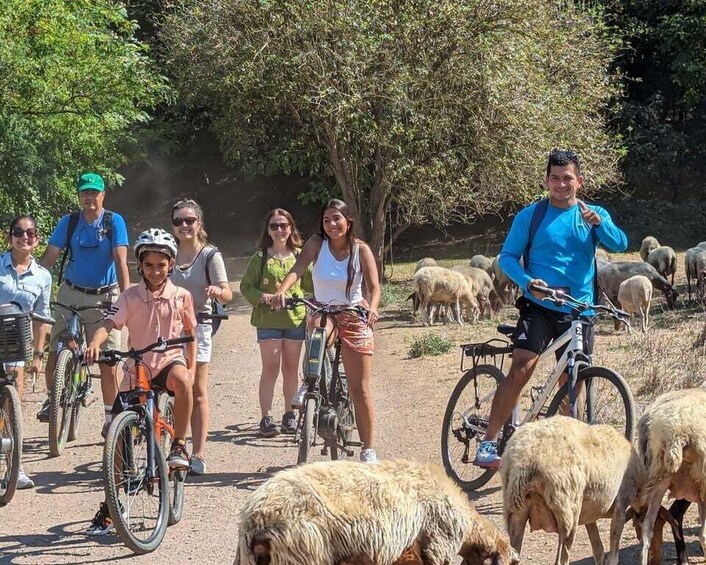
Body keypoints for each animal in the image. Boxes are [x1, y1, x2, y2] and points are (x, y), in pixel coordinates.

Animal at [498, 414, 640, 564]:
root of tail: (526, 459)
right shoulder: (621, 504)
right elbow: (613, 550)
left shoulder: (590, 515)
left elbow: (598, 548)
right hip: (566, 511)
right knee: (561, 559)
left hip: (515, 511)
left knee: (514, 554)